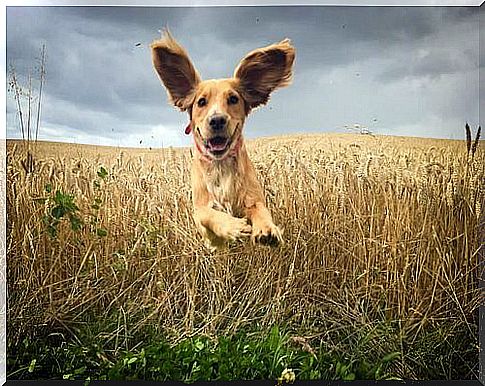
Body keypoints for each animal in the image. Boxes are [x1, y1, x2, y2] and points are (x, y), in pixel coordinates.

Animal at [151, 30, 294, 249]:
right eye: (201, 102)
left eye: (233, 99)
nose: (217, 120)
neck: (220, 166)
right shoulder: (200, 211)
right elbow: (208, 214)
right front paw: (233, 226)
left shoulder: (253, 197)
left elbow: (260, 209)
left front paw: (267, 229)